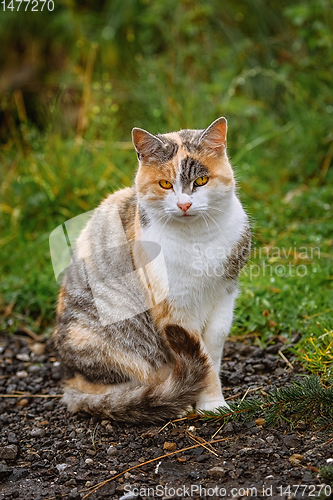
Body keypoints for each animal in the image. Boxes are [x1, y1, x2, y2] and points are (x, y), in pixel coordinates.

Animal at [53, 117, 250, 422]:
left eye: (201, 181)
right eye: (165, 184)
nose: (184, 204)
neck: (198, 239)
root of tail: (70, 382)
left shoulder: (223, 298)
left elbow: (212, 353)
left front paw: (212, 401)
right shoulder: (174, 310)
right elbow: (201, 358)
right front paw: (205, 402)